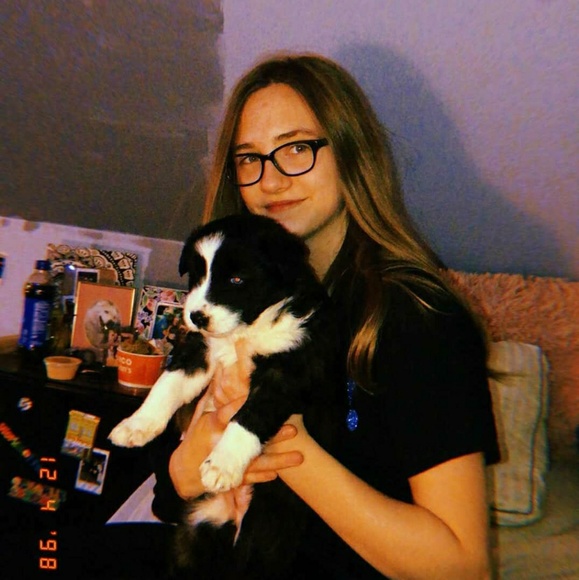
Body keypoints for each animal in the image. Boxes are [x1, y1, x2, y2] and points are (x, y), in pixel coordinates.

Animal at [109, 214, 341, 579]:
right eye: (197, 275)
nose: (196, 317)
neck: (248, 328)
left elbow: (249, 416)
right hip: (191, 534)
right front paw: (136, 426)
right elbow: (166, 385)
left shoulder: (287, 371)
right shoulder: (200, 349)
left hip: (264, 544)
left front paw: (222, 465)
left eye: (236, 279)